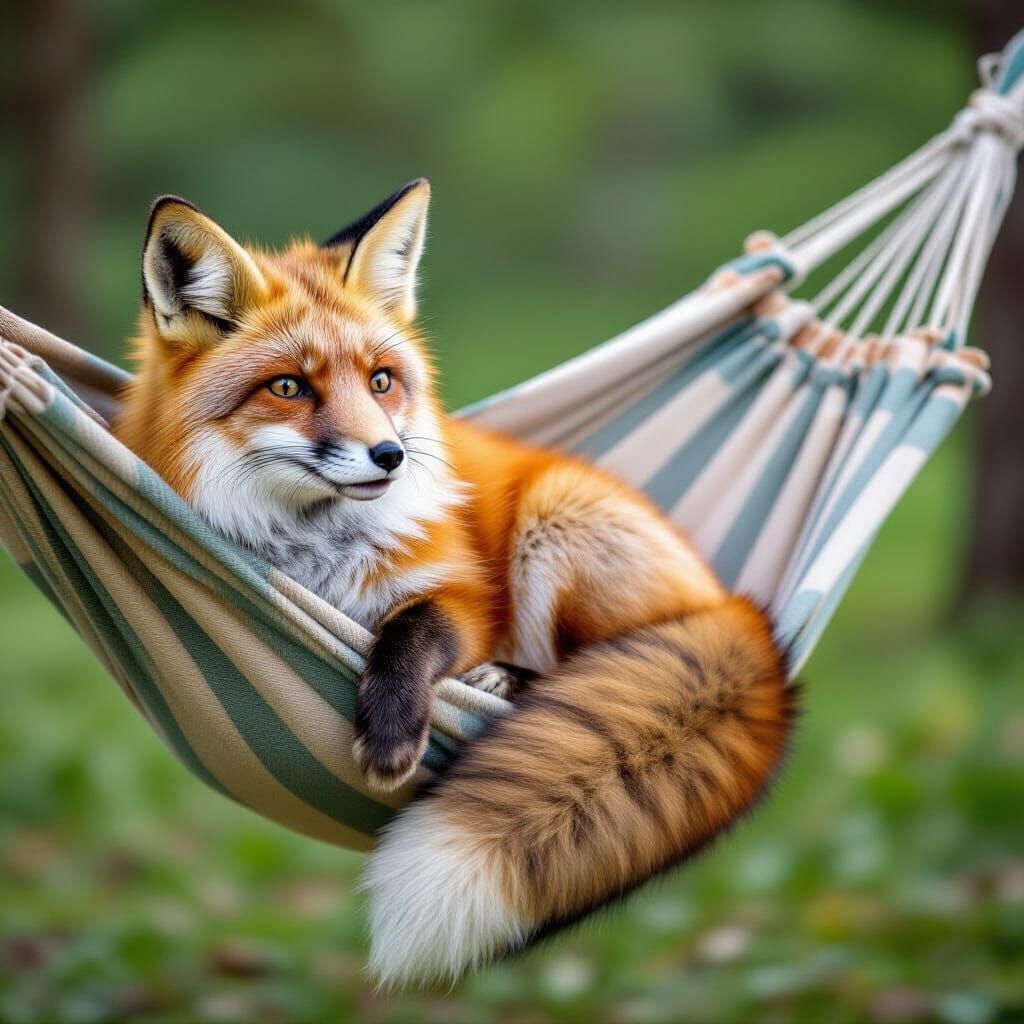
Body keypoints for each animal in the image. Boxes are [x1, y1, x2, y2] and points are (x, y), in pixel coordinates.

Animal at [115, 179, 796, 988]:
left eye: (381, 380)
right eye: (288, 387)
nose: (390, 455)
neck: (316, 558)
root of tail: (741, 611)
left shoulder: (465, 594)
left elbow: (410, 630)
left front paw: (390, 729)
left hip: (554, 520)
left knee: (589, 663)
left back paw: (506, 682)